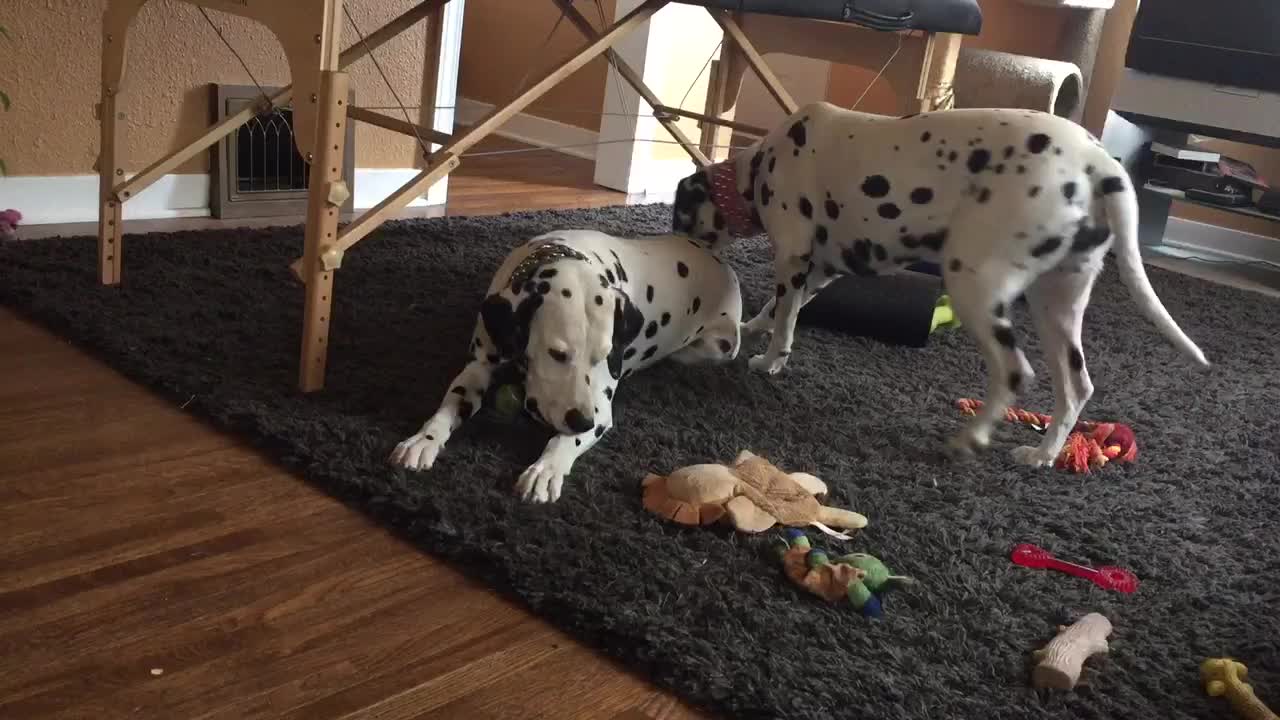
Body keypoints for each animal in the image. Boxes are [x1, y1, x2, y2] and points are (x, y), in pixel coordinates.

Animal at [389, 228, 742, 499]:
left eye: (603, 355)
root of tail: (719, 260)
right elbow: (449, 406)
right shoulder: (478, 366)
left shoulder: (600, 405)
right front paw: (424, 439)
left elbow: (565, 439)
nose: (582, 421)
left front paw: (547, 468)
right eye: (557, 354)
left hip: (717, 346)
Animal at [670, 99, 1208, 466]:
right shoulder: (820, 269)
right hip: (1057, 304)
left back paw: (971, 439)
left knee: (1015, 372)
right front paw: (757, 329)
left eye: (680, 216)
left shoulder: (795, 257)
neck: (760, 166)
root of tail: (1099, 163)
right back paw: (1042, 454)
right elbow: (781, 308)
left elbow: (784, 318)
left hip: (976, 287)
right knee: (1076, 387)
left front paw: (769, 360)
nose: (672, 243)